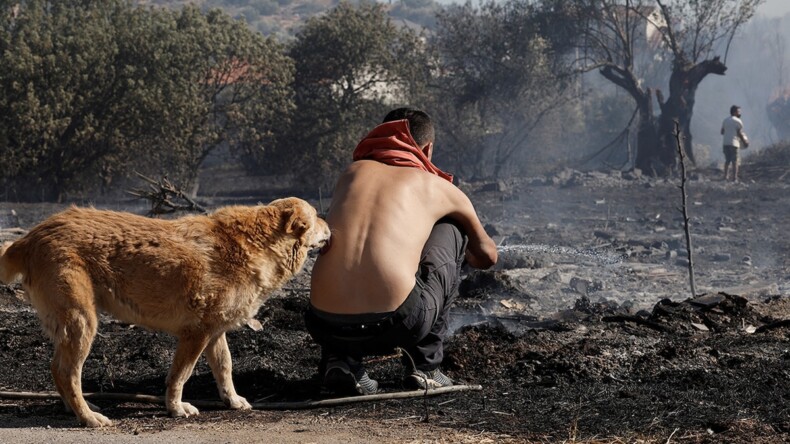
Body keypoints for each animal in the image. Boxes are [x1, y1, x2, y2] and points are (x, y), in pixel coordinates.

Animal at [0, 198, 332, 426]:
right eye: (316, 216)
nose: (332, 228)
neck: (258, 241)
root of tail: (29, 236)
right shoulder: (195, 335)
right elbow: (180, 376)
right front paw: (175, 408)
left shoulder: (214, 334)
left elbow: (225, 368)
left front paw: (233, 400)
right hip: (83, 323)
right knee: (67, 373)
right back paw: (89, 418)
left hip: (72, 326)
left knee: (57, 370)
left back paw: (76, 409)